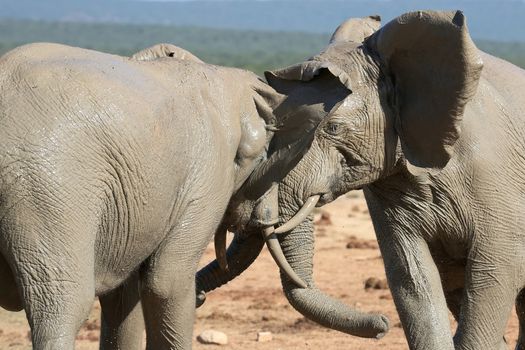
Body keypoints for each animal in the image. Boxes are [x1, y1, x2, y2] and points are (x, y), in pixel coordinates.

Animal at [0, 40, 386, 348]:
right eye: (270, 161)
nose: (382, 324)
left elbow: (123, 298)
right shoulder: (206, 173)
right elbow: (167, 282)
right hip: (48, 190)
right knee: (63, 306)